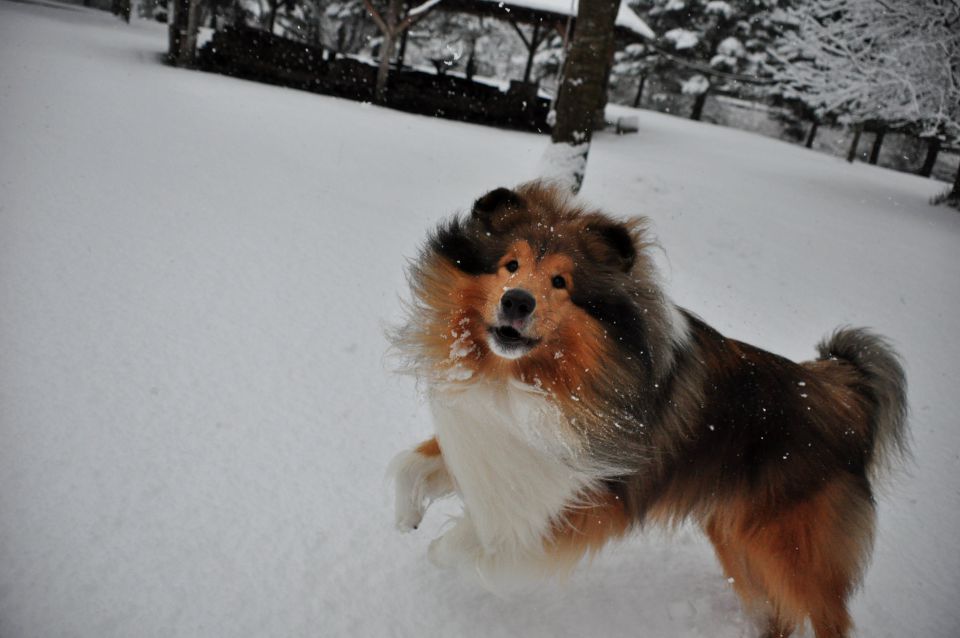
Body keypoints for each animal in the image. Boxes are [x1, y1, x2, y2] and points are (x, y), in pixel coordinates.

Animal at [386, 181, 904, 638]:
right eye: (509, 265)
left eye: (560, 282)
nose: (517, 301)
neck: (535, 380)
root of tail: (843, 394)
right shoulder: (496, 439)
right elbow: (411, 464)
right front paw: (407, 517)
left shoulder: (575, 494)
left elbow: (486, 537)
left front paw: (442, 549)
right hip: (738, 538)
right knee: (776, 612)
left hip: (796, 553)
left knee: (826, 617)